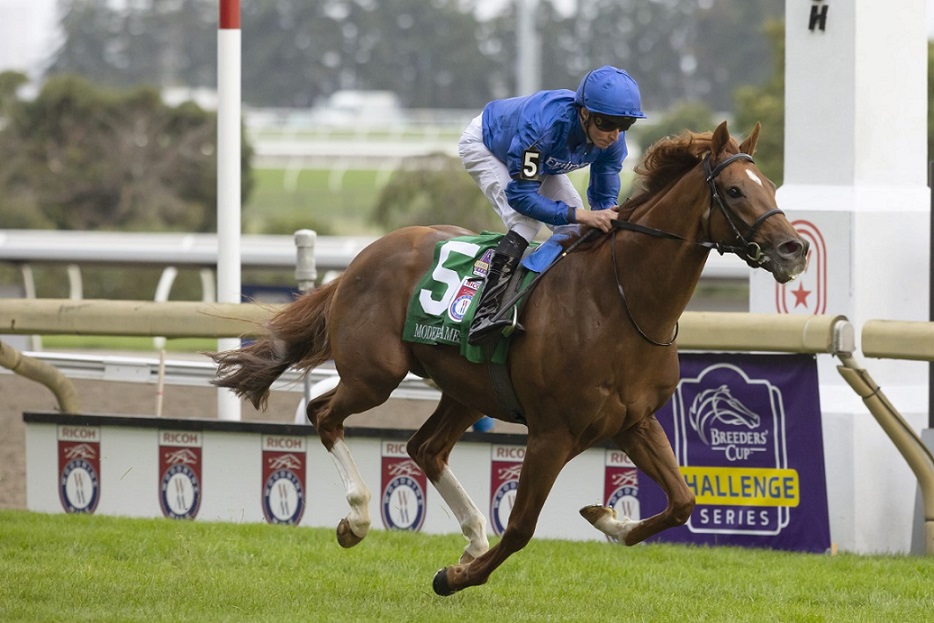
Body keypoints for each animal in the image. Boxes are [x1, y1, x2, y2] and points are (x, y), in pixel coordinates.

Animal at [210, 121, 808, 595]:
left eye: (772, 186)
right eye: (734, 190)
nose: (794, 250)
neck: (618, 303)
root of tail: (364, 257)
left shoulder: (633, 421)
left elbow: (683, 501)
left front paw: (607, 518)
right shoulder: (552, 433)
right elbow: (521, 527)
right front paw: (453, 578)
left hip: (464, 388)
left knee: (424, 447)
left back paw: (474, 535)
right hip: (374, 375)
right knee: (325, 414)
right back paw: (357, 518)